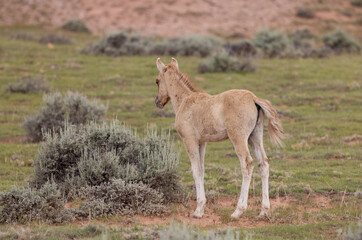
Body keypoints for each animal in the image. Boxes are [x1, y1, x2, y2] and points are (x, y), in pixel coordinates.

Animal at [154, 57, 284, 218]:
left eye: (157, 81)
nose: (157, 101)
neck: (185, 101)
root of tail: (253, 98)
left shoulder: (189, 141)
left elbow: (195, 170)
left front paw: (198, 210)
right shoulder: (202, 142)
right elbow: (201, 170)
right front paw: (202, 207)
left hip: (238, 138)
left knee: (247, 164)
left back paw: (238, 211)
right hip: (255, 137)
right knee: (263, 164)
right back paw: (264, 211)